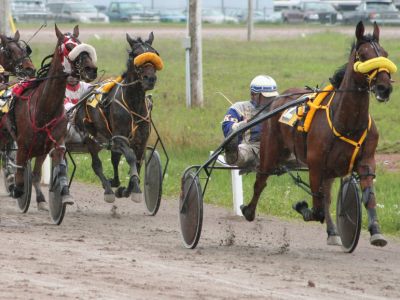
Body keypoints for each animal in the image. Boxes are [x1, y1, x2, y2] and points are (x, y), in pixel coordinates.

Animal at [5, 25, 98, 209]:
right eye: (69, 46)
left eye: (81, 43)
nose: (91, 69)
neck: (44, 108)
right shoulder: (23, 143)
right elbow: (20, 169)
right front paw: (17, 189)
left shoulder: (55, 142)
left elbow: (56, 168)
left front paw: (64, 195)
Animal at [74, 32, 162, 204]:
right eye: (135, 55)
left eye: (154, 54)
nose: (150, 78)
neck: (133, 105)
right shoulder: (120, 137)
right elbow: (131, 158)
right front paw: (134, 189)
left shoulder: (141, 140)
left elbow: (138, 162)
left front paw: (127, 189)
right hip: (90, 135)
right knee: (96, 164)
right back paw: (108, 189)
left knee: (114, 158)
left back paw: (114, 183)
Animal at [241, 21, 394, 248]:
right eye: (363, 55)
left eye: (384, 53)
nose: (384, 87)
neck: (345, 121)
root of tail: (280, 98)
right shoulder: (315, 165)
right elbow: (317, 208)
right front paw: (301, 206)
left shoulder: (366, 160)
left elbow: (367, 198)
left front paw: (376, 232)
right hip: (270, 149)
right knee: (261, 181)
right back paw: (248, 211)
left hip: (329, 169)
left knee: (327, 198)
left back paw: (333, 231)